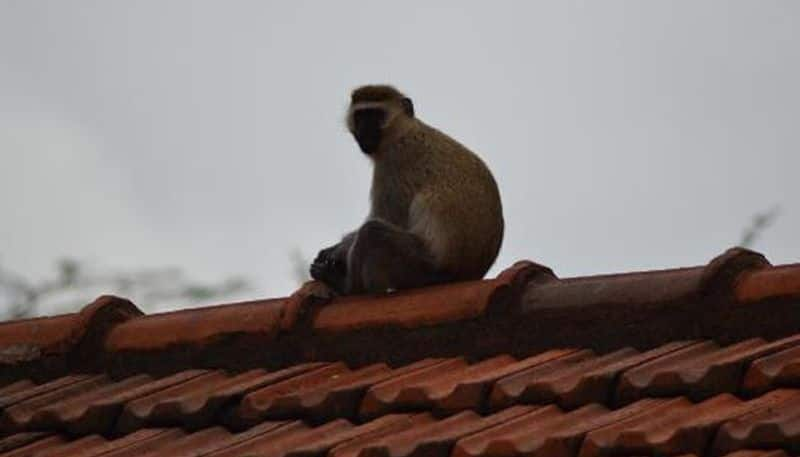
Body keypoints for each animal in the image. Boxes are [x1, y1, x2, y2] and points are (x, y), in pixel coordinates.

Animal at [310, 83, 504, 294]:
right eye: (360, 116)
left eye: (376, 115)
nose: (364, 130)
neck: (403, 131)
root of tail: (465, 275)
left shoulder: (394, 161)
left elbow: (389, 217)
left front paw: (338, 250)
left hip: (420, 268)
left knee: (373, 232)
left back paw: (348, 287)